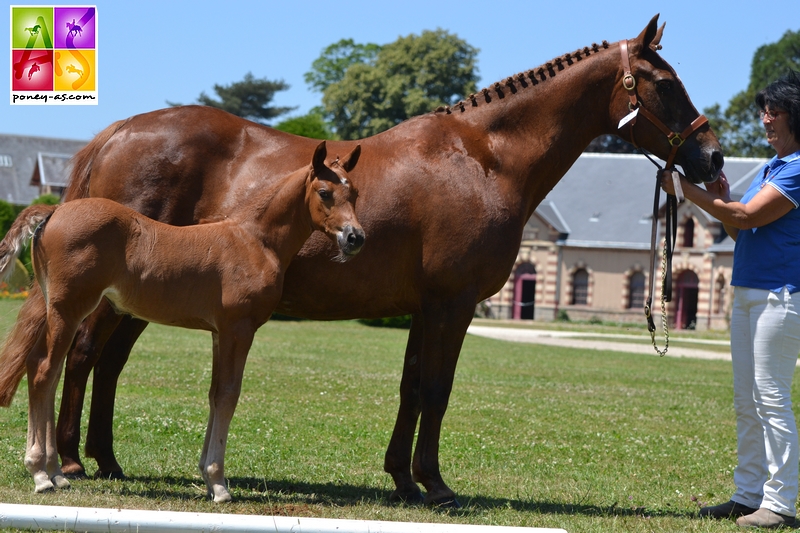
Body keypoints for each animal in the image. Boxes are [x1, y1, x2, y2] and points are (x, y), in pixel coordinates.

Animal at [0, 140, 362, 498]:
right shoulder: (238, 329)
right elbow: (228, 394)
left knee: (40, 366)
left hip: (58, 310)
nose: (355, 237)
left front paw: (207, 474)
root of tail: (53, 212)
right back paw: (41, 474)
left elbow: (215, 394)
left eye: (355, 193)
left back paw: (56, 473)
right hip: (69, 309)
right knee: (45, 371)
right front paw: (218, 483)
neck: (253, 240)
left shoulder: (219, 332)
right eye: (325, 192)